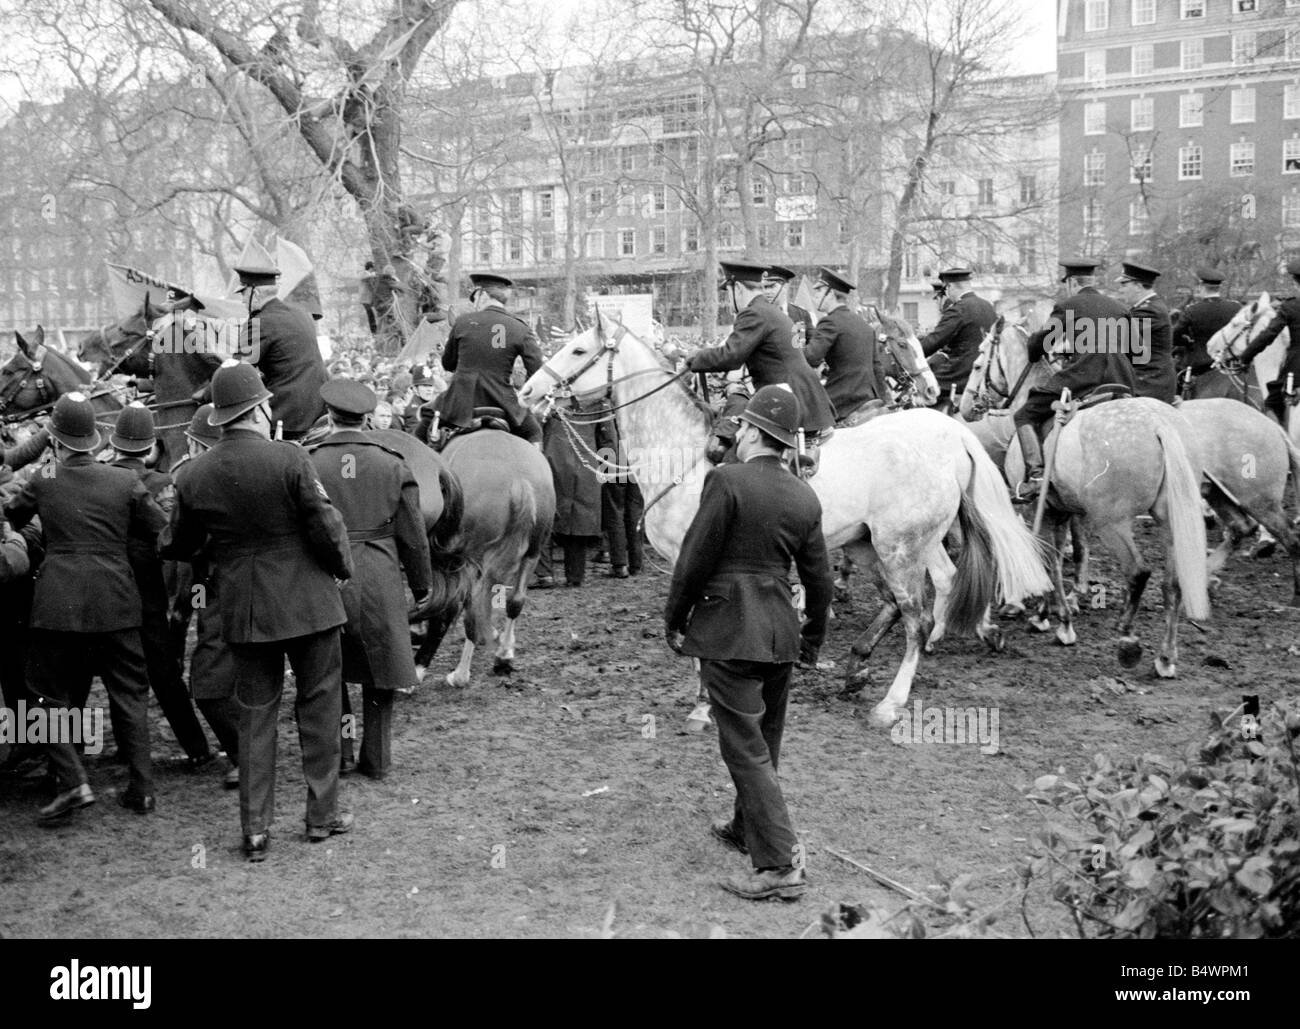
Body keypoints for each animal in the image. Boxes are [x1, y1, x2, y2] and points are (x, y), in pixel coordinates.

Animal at [512, 317, 1050, 727]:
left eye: (578, 349)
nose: (527, 390)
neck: (685, 450)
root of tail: (950, 432)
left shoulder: (698, 556)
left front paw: (704, 704)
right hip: (885, 544)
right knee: (931, 590)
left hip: (900, 548)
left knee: (917, 617)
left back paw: (891, 701)